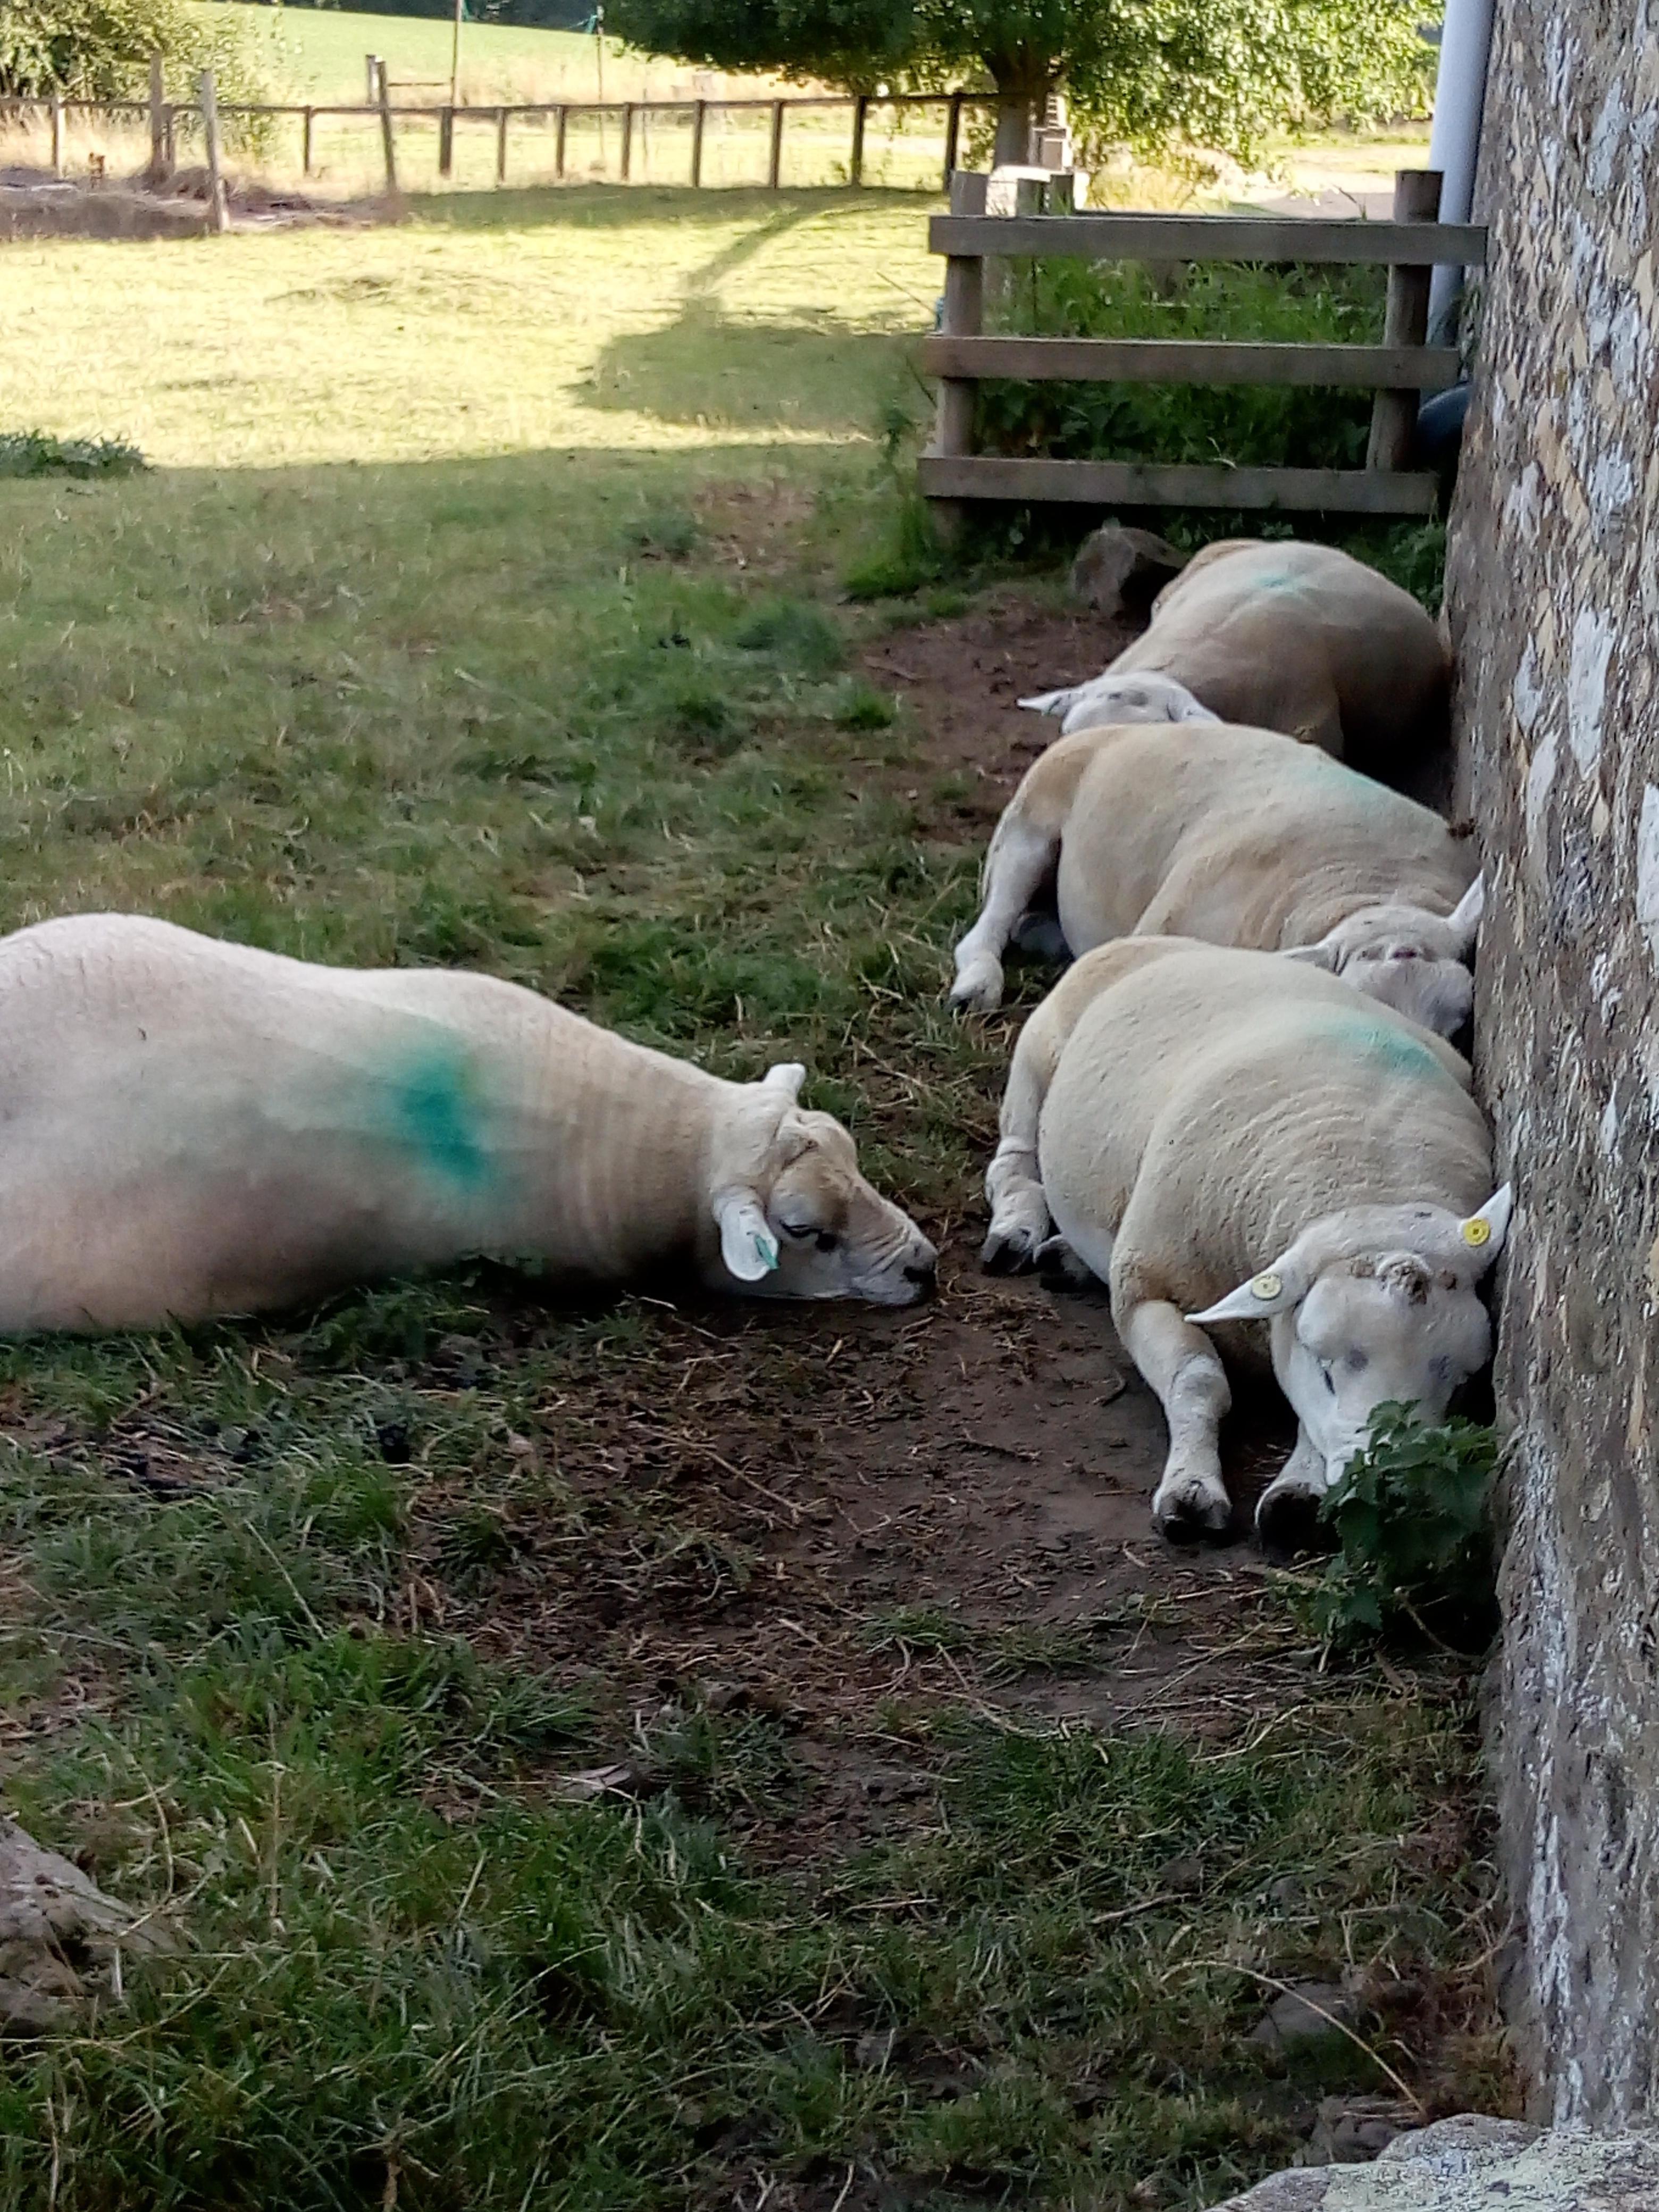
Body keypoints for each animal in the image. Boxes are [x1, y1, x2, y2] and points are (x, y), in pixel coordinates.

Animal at [982, 942, 1513, 1548]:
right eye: (1326, 1370)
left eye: (1462, 1383)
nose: (1396, 1490)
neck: (1371, 1179)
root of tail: (1178, 945)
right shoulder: (1146, 1288)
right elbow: (1198, 1381)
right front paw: (1191, 1494)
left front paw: (1297, 1498)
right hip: (1035, 1063)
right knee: (1014, 1161)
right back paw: (1017, 1232)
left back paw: (1066, 1256)